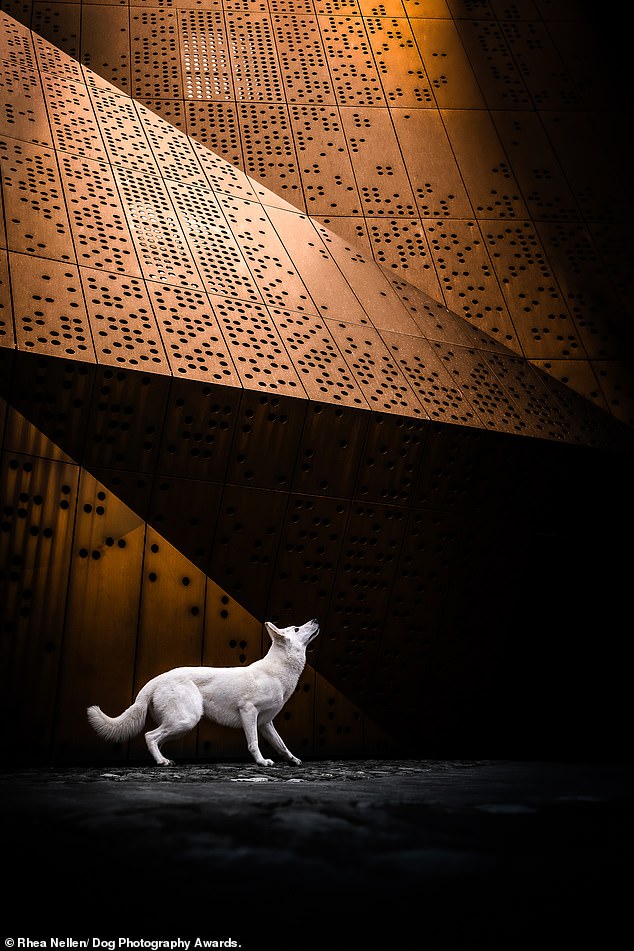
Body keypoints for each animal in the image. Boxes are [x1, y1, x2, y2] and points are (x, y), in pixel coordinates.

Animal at [86, 616, 318, 768]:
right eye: (296, 629)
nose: (316, 619)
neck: (277, 669)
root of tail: (156, 679)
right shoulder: (248, 712)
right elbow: (253, 743)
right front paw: (261, 762)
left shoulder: (265, 722)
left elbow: (281, 744)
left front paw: (293, 759)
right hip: (186, 720)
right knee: (150, 735)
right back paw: (161, 761)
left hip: (179, 724)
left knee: (156, 738)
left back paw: (164, 759)